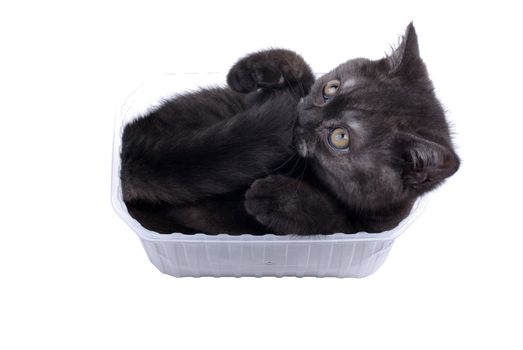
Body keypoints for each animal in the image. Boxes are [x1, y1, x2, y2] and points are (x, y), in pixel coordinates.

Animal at [118, 24, 458, 235]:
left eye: (340, 137)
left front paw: (275, 197)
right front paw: (254, 69)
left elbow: (326, 217)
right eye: (331, 89)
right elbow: (301, 70)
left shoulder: (360, 231)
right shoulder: (258, 103)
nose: (303, 117)